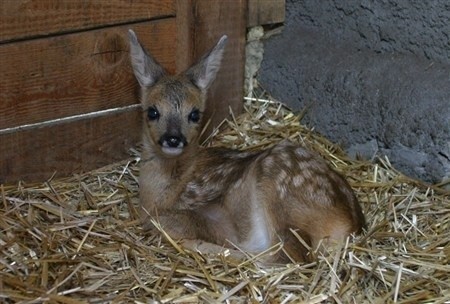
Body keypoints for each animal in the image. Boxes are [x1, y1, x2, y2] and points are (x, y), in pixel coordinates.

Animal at [127, 30, 366, 262]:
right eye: (152, 111)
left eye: (194, 114)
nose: (173, 138)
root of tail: (351, 224)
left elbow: (169, 223)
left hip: (278, 187)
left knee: (289, 257)